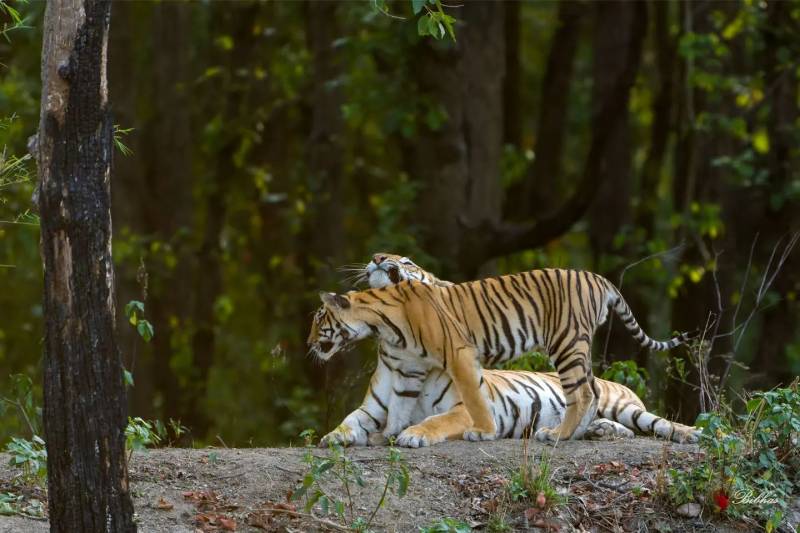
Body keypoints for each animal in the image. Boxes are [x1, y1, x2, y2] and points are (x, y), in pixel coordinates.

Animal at [307, 260, 693, 446]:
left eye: (318, 317)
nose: (308, 343)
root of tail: (599, 278)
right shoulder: (402, 376)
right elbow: (359, 419)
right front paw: (345, 437)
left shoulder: (458, 354)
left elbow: (463, 406)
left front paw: (481, 431)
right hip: (578, 351)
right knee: (593, 394)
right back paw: (585, 432)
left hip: (568, 344)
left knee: (594, 397)